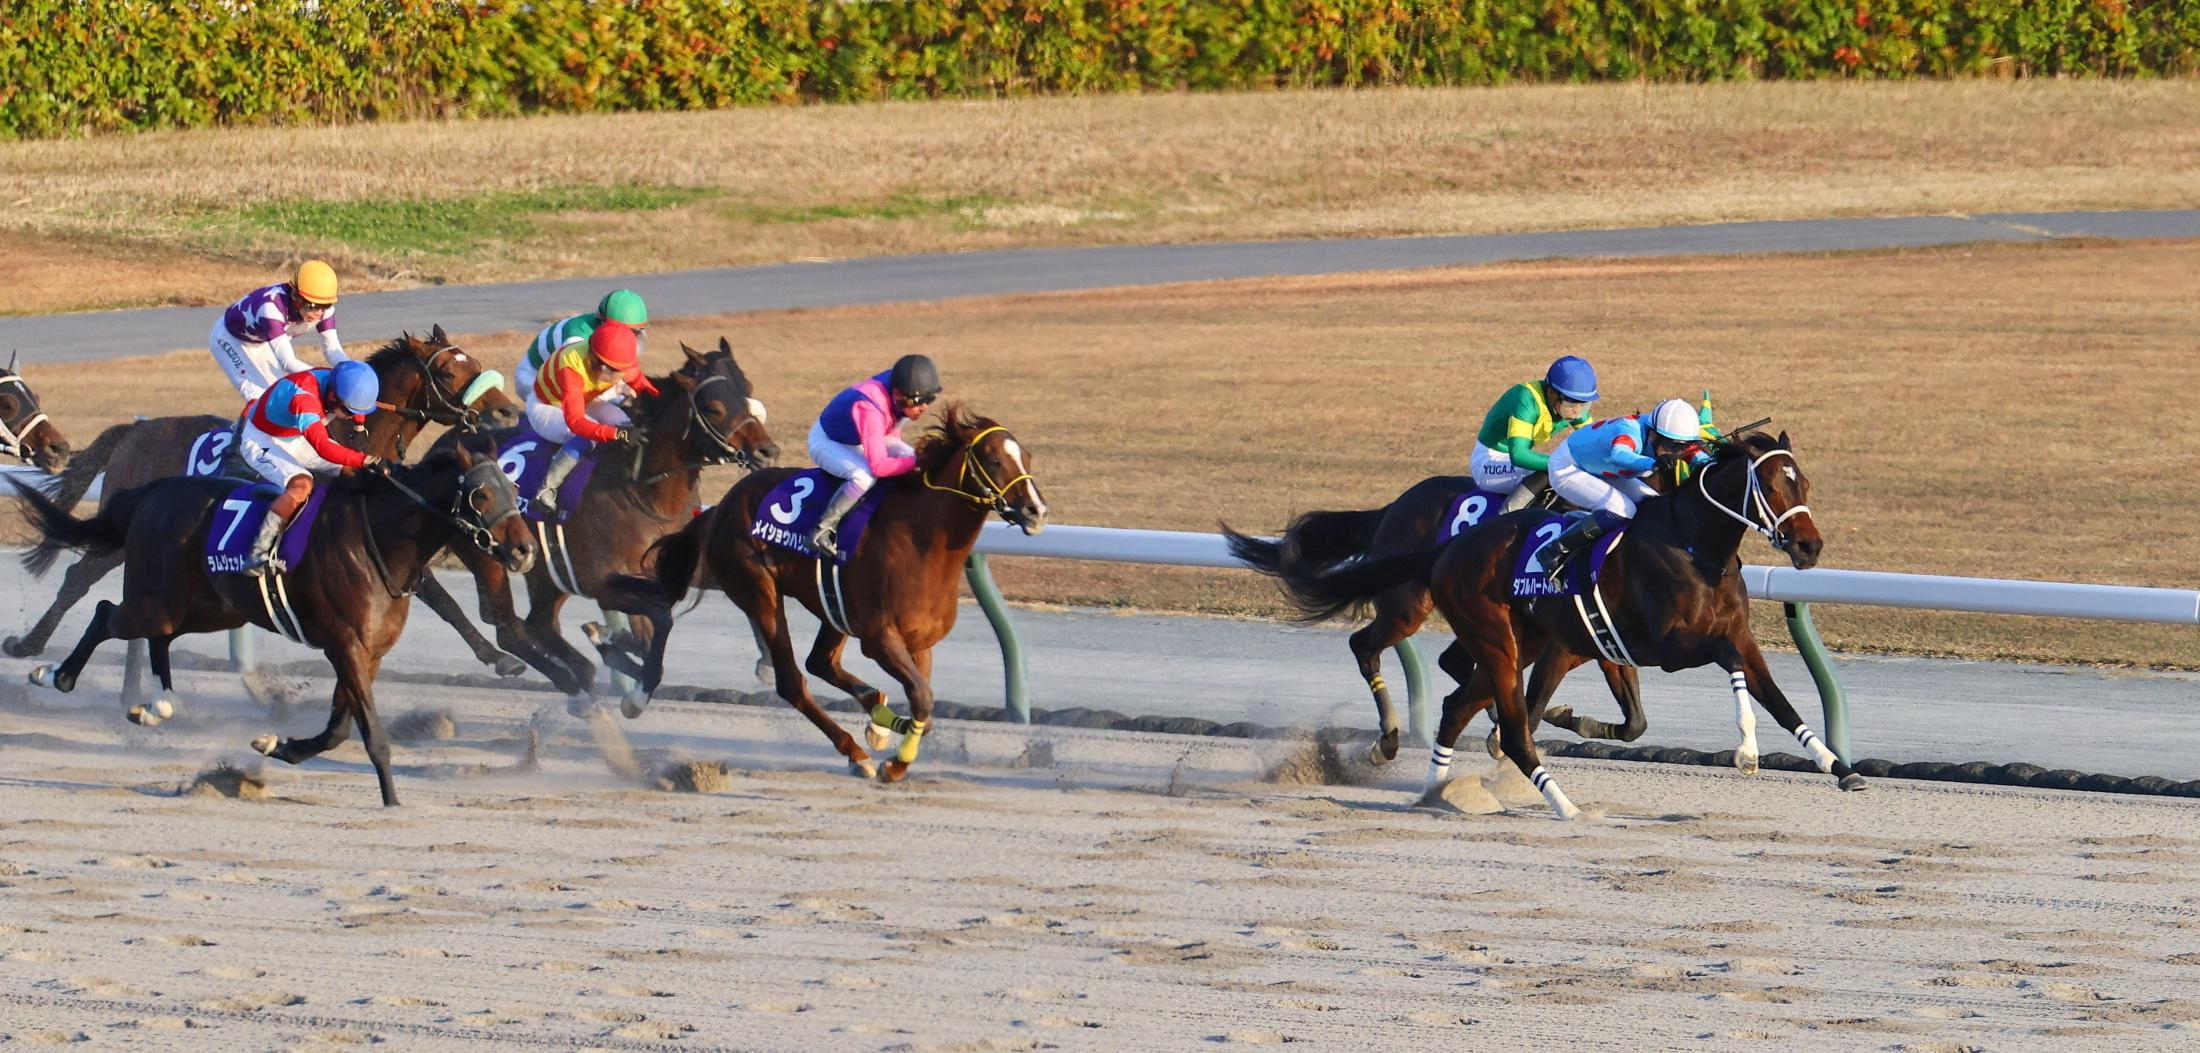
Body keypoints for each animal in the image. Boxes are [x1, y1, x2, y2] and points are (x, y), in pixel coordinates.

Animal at [5, 328, 520, 671]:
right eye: (450, 370)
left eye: (475, 363)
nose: (506, 410)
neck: (352, 430)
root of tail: (133, 430)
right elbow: (440, 598)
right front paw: (498, 656)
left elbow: (436, 596)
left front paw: (497, 654)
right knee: (78, 576)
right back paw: (28, 644)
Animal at [10, 437, 533, 805]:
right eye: (481, 494)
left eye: (515, 489)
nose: (525, 550)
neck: (378, 542)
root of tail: (159, 489)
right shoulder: (345, 645)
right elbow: (369, 733)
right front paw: (392, 800)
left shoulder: (368, 652)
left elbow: (339, 728)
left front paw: (277, 745)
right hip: (157, 600)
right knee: (106, 615)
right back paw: (54, 675)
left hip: (209, 606)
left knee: (160, 637)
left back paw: (157, 705)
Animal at [412, 339, 777, 703]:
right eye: (714, 408)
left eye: (747, 391)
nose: (767, 451)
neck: (644, 489)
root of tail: (442, 446)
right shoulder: (597, 579)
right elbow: (652, 625)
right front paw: (622, 658)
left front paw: (767, 663)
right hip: (489, 551)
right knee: (507, 625)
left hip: (544, 567)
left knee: (539, 623)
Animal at [591, 405, 1048, 784]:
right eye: (993, 459)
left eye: (1026, 457)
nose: (1036, 511)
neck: (922, 543)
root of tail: (720, 508)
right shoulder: (880, 638)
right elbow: (921, 697)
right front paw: (895, 764)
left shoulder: (920, 642)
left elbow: (926, 704)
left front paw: (890, 737)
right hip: (759, 590)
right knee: (793, 680)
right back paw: (855, 753)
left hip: (833, 606)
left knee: (821, 661)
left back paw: (876, 718)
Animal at [1226, 475, 1644, 766]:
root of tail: (1393, 507)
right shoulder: (1560, 646)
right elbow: (1539, 699)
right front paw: (1506, 737)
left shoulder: (1609, 642)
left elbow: (1634, 723)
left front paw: (1572, 721)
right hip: (1409, 606)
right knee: (1366, 646)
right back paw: (1389, 738)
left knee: (1455, 661)